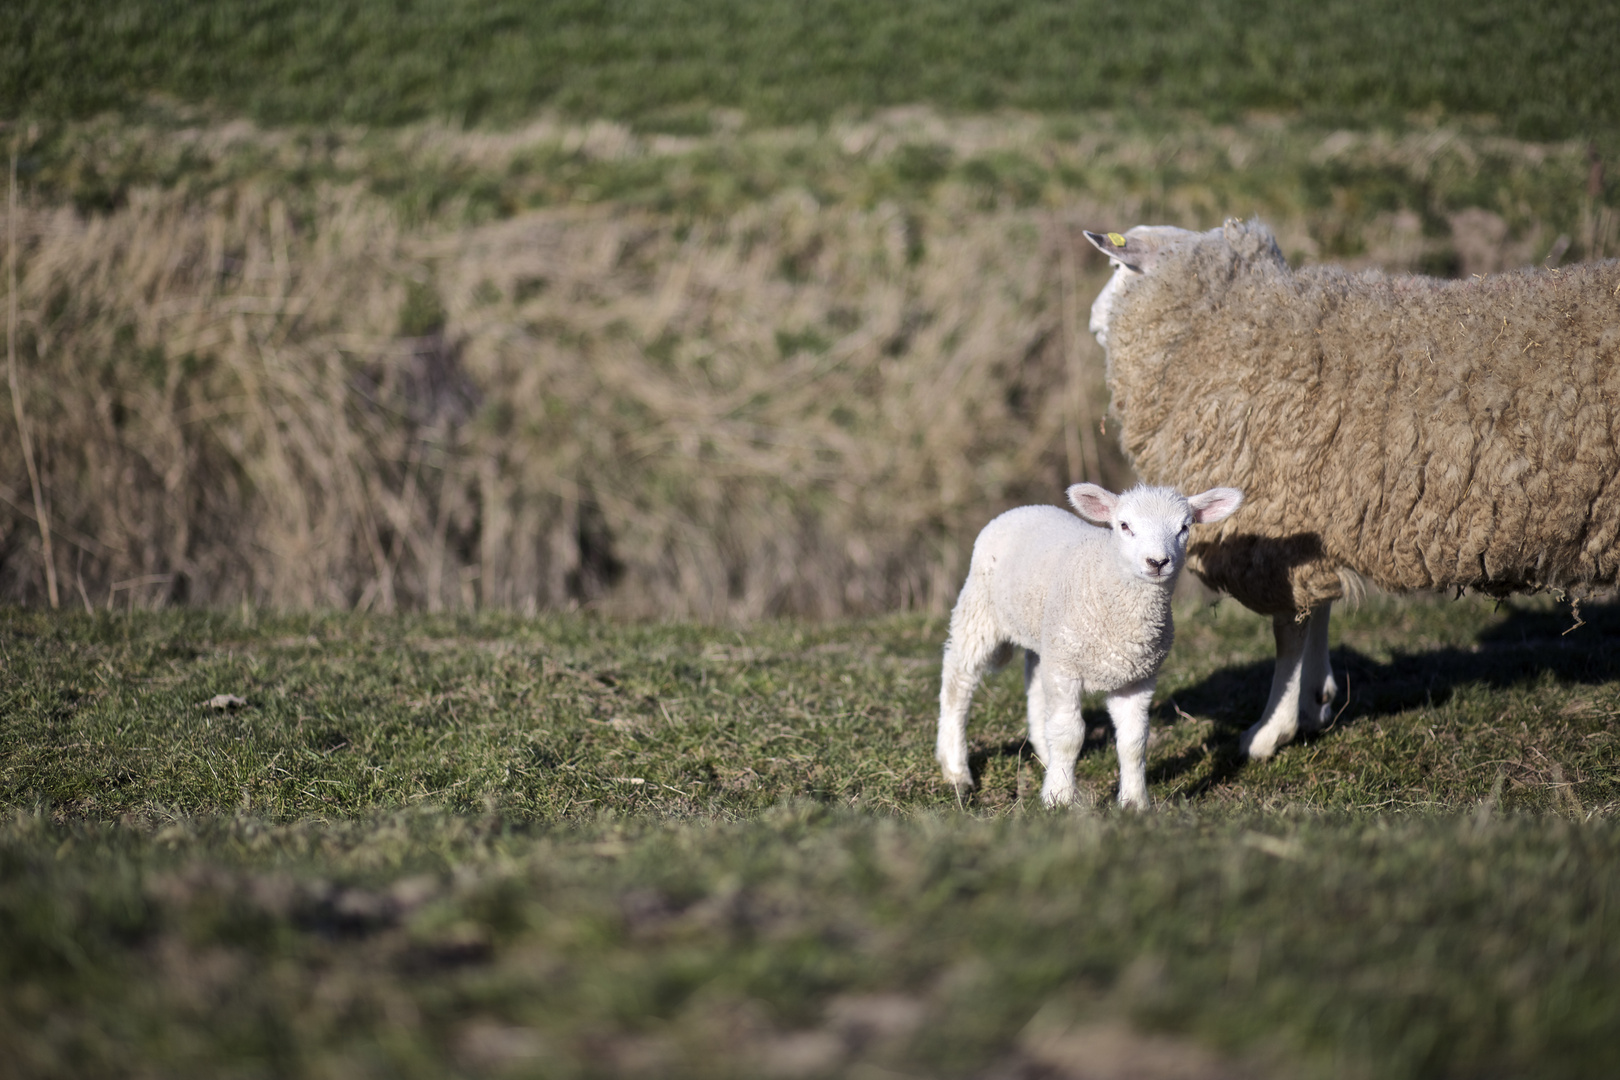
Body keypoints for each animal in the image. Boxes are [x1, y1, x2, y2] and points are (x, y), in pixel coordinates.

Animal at [939, 482, 1237, 809]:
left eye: (1184, 527)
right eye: (1124, 526)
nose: (1157, 562)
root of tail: (1023, 508)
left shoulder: (1136, 678)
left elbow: (1134, 741)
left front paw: (1134, 802)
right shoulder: (1066, 670)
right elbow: (1069, 735)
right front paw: (1058, 798)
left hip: (1047, 637)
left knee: (1035, 684)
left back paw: (1044, 756)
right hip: (980, 612)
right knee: (958, 682)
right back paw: (956, 770)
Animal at [1088, 220, 1620, 761]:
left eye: (1117, 265)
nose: (1090, 322)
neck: (1226, 326)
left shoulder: (1278, 519)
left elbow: (1290, 628)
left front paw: (1271, 729)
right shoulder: (1314, 514)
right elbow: (1317, 609)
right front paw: (1314, 701)